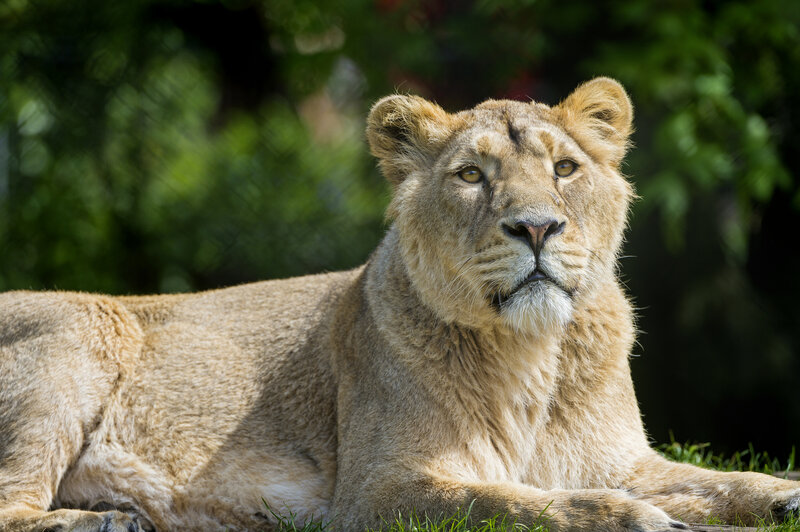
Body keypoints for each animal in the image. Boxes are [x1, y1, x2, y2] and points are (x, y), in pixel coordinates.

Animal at [0, 78, 798, 532]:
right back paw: (102, 523)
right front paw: (632, 517)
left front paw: (772, 496)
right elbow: (508, 501)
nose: (537, 226)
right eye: (472, 176)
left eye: (565, 168)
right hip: (78, 331)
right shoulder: (376, 489)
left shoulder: (623, 458)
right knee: (12, 504)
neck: (534, 350)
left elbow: (714, 478)